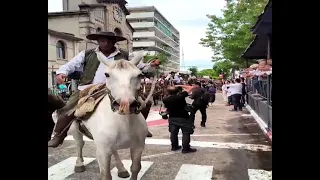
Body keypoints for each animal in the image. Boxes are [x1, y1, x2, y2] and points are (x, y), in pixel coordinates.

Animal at [52, 51, 151, 180]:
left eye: (139, 75)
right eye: (107, 75)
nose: (125, 105)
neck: (124, 122)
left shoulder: (138, 147)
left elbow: (135, 168)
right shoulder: (103, 151)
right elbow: (106, 174)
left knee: (113, 151)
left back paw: (121, 169)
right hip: (75, 130)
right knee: (79, 144)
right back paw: (79, 164)